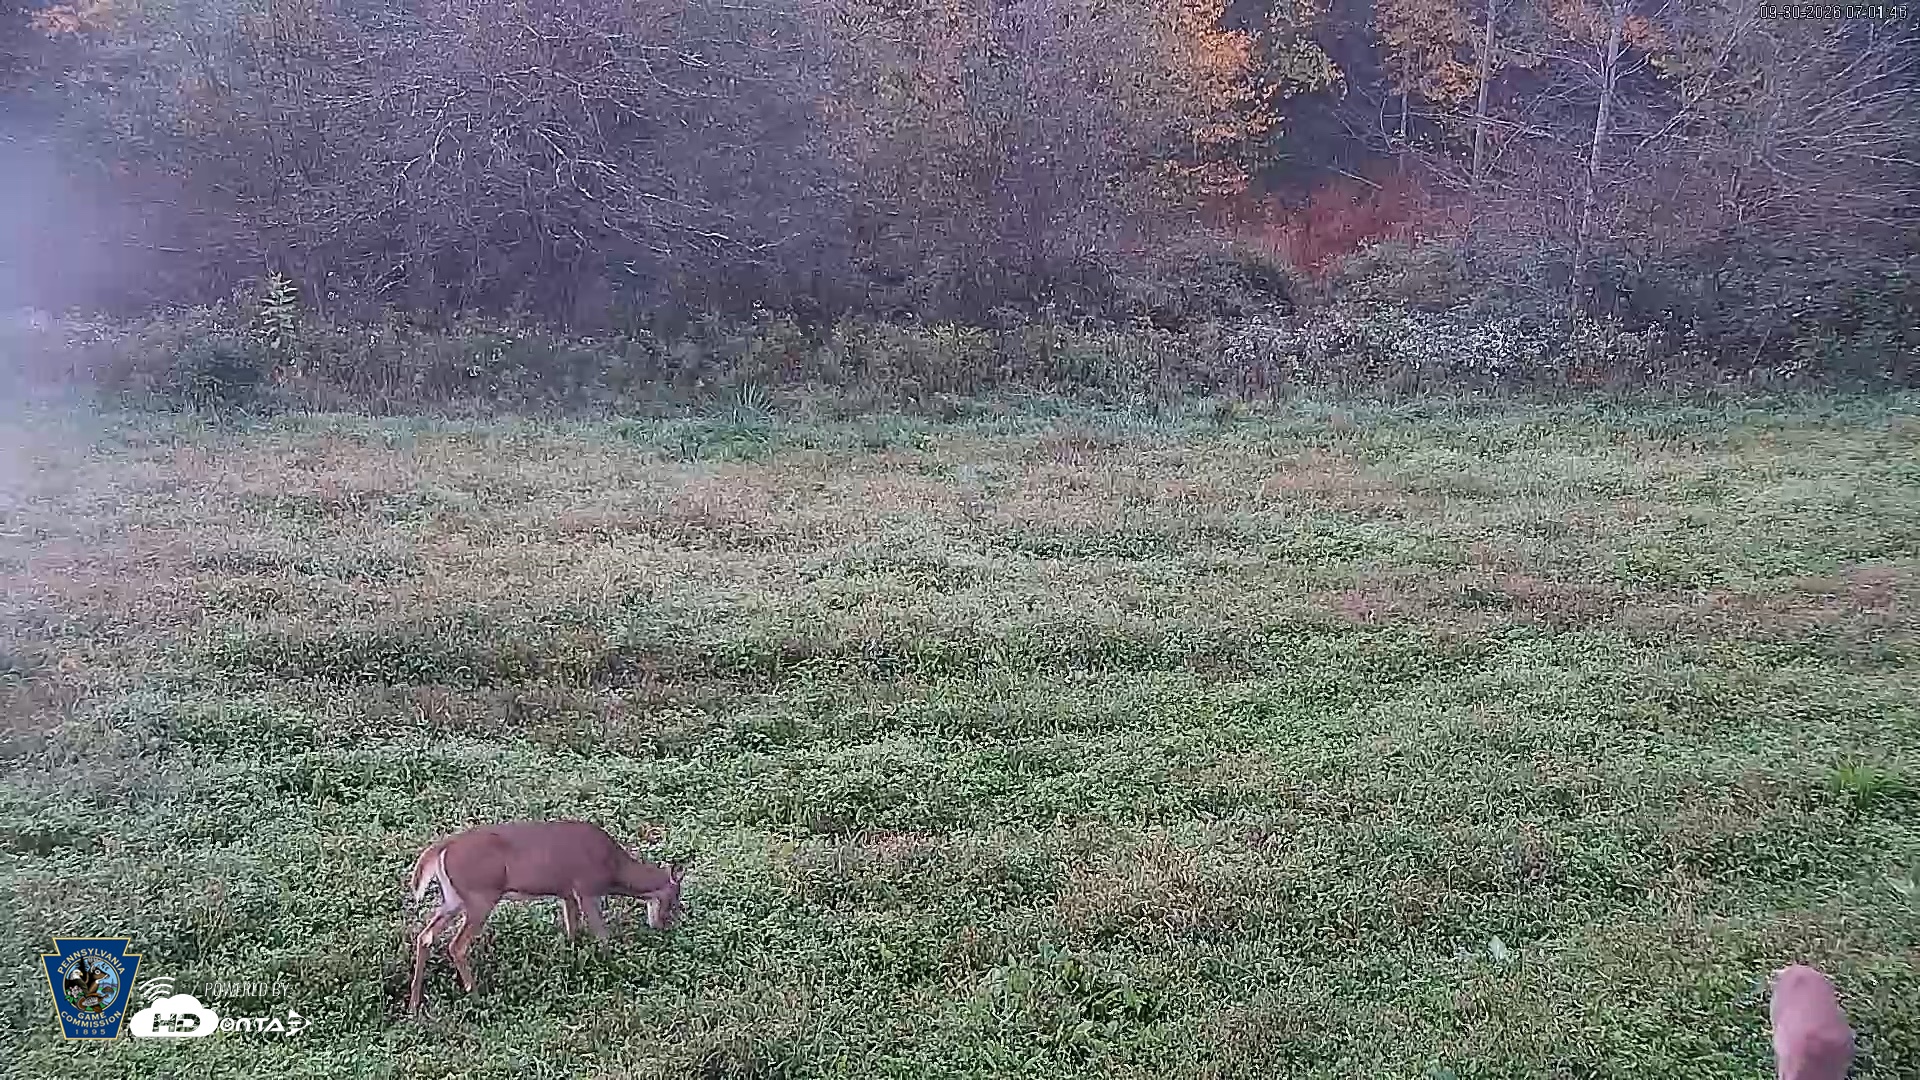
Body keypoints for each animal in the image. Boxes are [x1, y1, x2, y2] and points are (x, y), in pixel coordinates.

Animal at [405, 820, 688, 1015]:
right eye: (675, 899)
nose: (665, 926)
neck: (614, 868)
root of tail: (441, 848)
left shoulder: (567, 893)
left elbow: (573, 932)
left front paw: (571, 968)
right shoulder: (586, 887)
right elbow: (602, 934)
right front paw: (614, 967)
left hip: (454, 898)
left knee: (425, 936)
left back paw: (414, 1004)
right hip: (480, 896)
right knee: (457, 945)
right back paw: (476, 996)